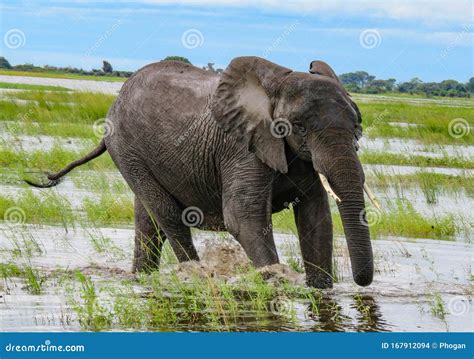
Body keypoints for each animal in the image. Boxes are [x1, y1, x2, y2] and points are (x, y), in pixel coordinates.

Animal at [27, 57, 380, 292]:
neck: (279, 83)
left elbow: (315, 218)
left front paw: (319, 289)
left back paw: (143, 278)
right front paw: (275, 282)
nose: (362, 283)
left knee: (148, 220)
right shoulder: (241, 146)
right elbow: (243, 216)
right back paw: (195, 275)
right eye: (300, 128)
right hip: (126, 149)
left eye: (358, 129)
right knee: (168, 216)